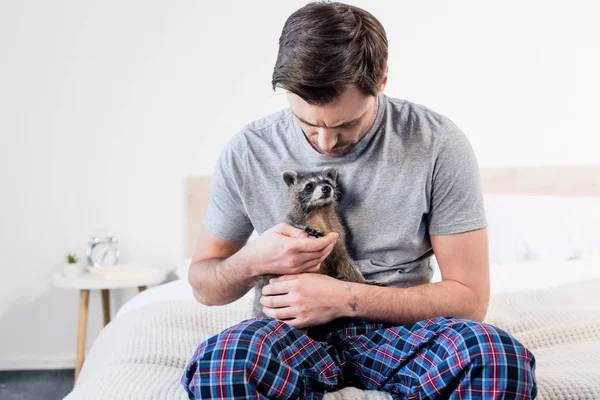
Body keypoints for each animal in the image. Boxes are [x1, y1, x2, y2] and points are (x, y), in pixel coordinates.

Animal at [253, 167, 376, 320]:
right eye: (309, 186)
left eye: (327, 181)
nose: (326, 188)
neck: (318, 209)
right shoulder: (293, 220)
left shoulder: (336, 232)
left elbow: (344, 260)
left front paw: (361, 280)